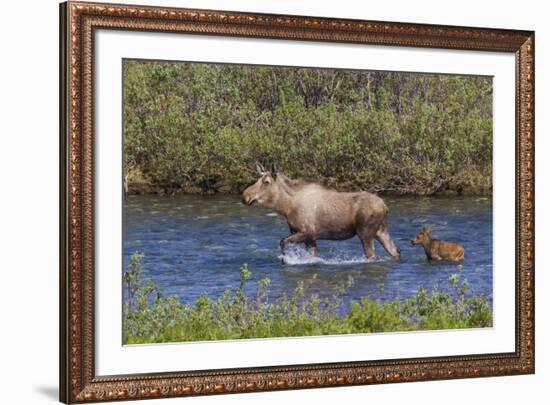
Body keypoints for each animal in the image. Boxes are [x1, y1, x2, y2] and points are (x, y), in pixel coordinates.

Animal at [243, 163, 402, 258]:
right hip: (381, 231)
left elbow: (282, 242)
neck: (286, 207)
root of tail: (385, 206)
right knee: (396, 251)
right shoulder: (309, 238)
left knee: (373, 255)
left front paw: (285, 259)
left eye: (266, 182)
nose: (245, 196)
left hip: (365, 233)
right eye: (257, 180)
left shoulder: (306, 232)